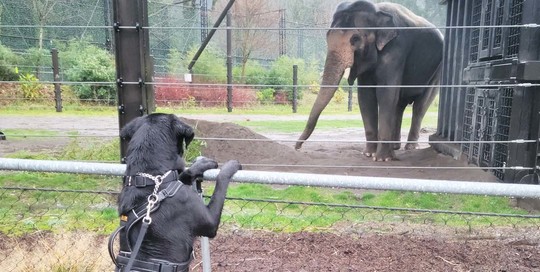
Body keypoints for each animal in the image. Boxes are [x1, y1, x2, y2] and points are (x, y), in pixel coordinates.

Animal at [110, 111, 242, 270]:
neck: (149, 179)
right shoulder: (209, 221)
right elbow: (221, 182)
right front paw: (231, 165)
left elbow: (184, 174)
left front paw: (199, 164)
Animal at [296, 0, 442, 162]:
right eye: (327, 37)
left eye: (355, 39)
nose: (297, 147)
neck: (376, 10)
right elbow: (365, 96)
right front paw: (369, 154)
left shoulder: (396, 50)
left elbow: (386, 94)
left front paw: (382, 159)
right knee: (399, 105)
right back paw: (395, 147)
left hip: (437, 72)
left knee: (420, 106)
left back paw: (410, 148)